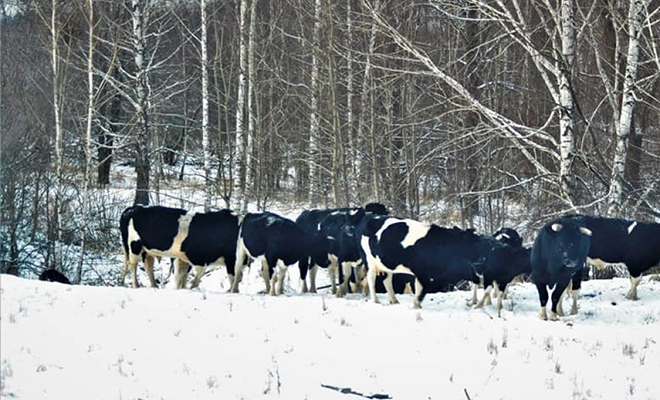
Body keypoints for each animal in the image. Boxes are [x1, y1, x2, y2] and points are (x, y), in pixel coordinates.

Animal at [356, 216, 490, 310]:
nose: (484, 258)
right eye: (475, 243)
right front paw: (416, 305)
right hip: (369, 261)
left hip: (386, 264)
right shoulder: (421, 271)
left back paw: (394, 300)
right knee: (371, 279)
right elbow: (422, 288)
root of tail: (369, 217)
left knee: (387, 280)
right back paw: (375, 301)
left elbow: (419, 287)